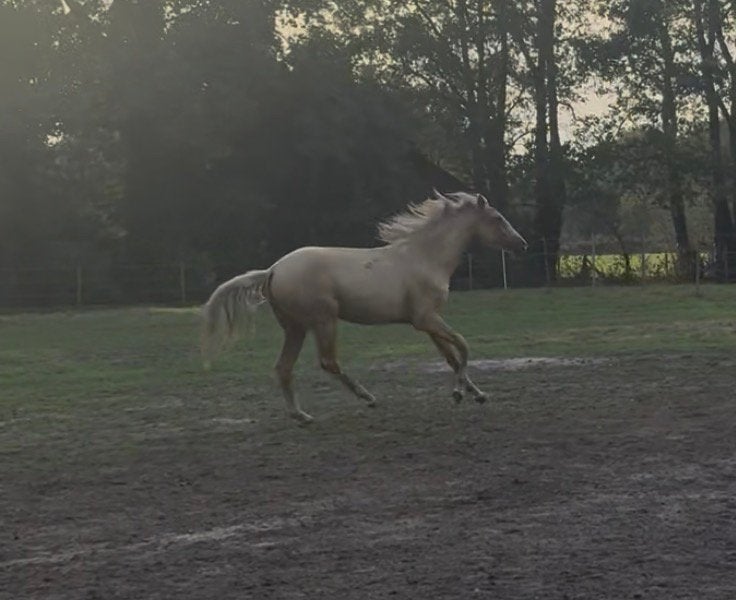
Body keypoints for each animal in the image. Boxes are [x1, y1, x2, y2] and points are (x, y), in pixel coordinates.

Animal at [201, 190, 528, 423]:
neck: (425, 257)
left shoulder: (427, 322)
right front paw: (460, 393)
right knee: (328, 362)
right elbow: (463, 345)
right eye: (497, 218)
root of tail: (272, 270)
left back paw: (301, 415)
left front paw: (476, 394)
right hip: (323, 320)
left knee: (283, 367)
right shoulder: (426, 319)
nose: (521, 244)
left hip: (295, 327)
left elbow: (451, 356)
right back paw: (368, 398)